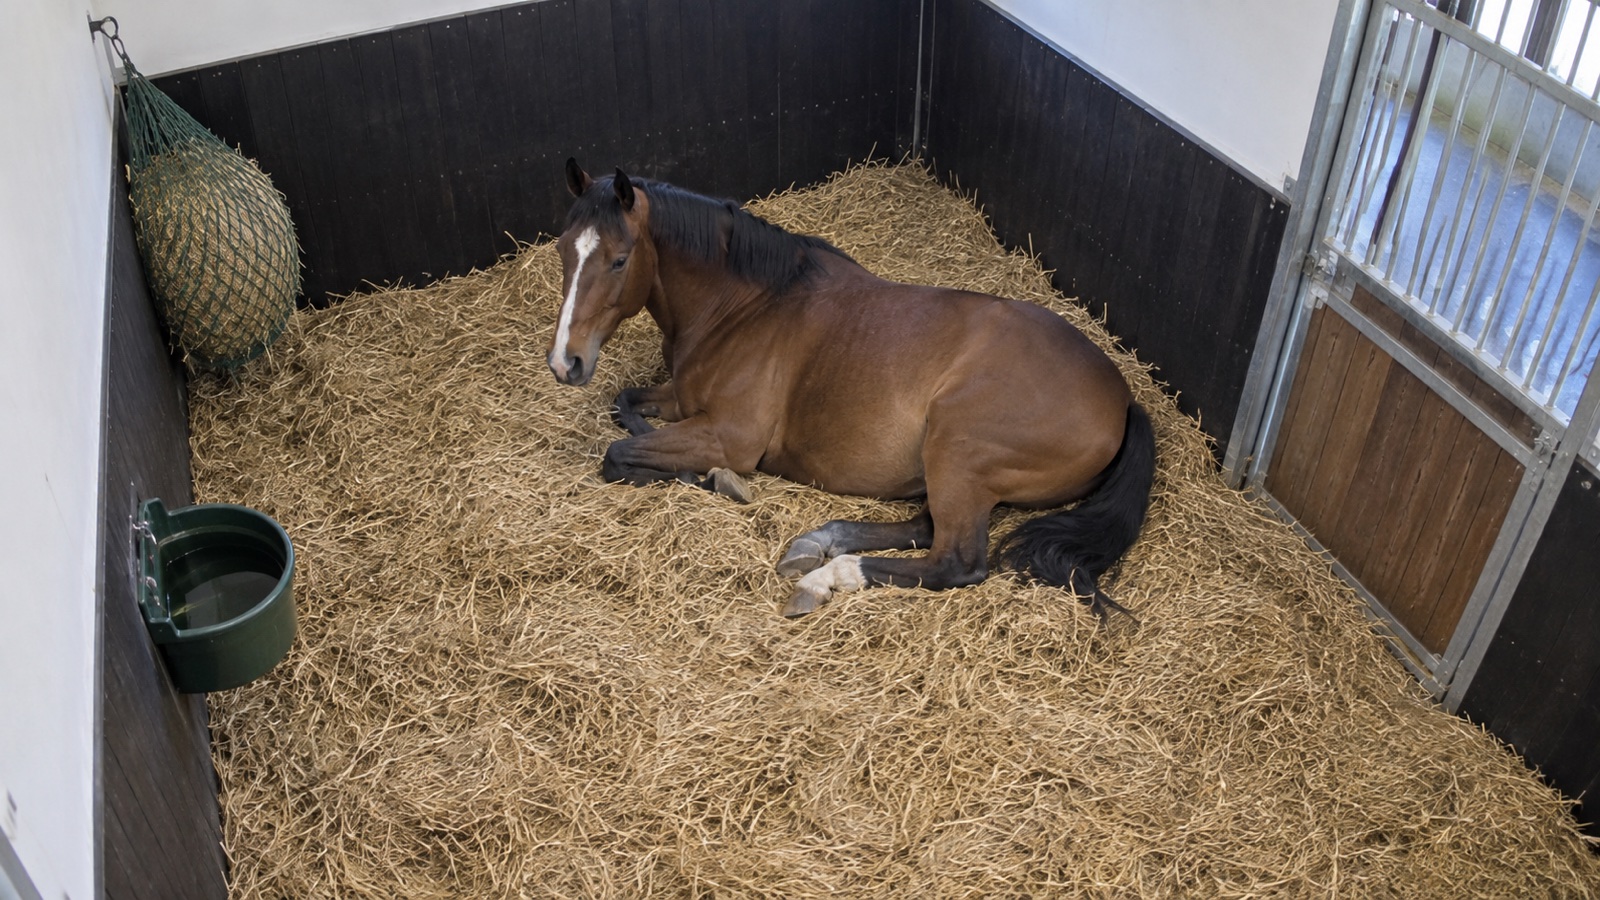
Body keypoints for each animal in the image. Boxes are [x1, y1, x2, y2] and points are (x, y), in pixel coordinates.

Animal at [547, 159, 1156, 621]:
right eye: (562, 251)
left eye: (619, 259)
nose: (565, 362)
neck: (746, 306)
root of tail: (1124, 400)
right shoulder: (681, 399)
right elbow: (625, 406)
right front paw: (697, 474)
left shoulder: (729, 435)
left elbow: (619, 452)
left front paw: (709, 478)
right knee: (922, 526)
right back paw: (817, 544)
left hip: (956, 446)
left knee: (953, 560)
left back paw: (826, 577)